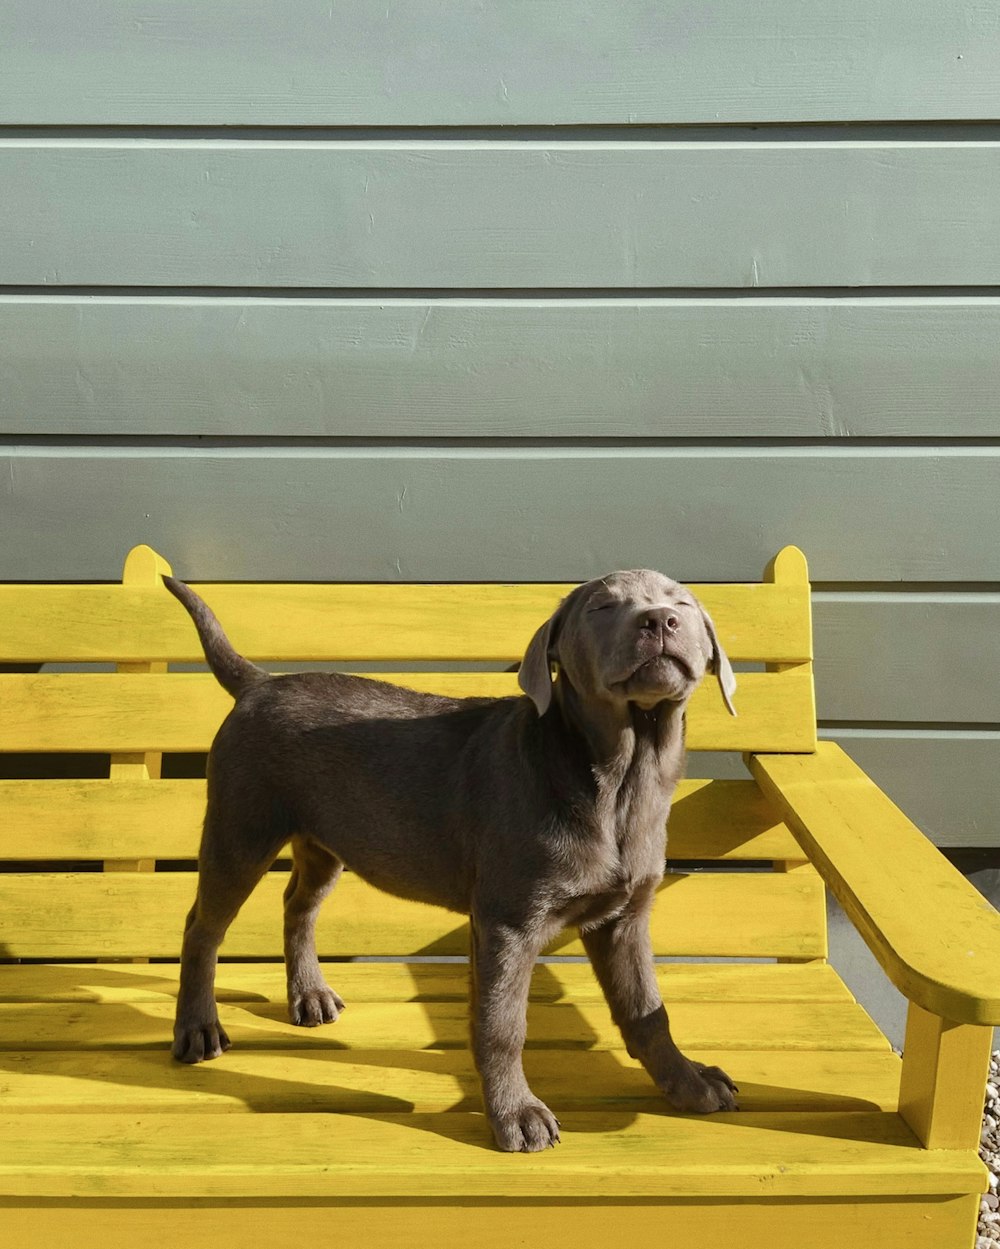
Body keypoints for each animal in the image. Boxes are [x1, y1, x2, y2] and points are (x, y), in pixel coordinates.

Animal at [163, 567, 739, 1149]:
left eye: (681, 604)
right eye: (601, 607)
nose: (659, 621)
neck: (621, 780)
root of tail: (259, 683)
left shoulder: (624, 917)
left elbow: (647, 1012)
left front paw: (689, 1084)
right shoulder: (508, 921)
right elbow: (502, 1024)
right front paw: (516, 1115)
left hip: (324, 838)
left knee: (297, 905)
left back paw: (309, 994)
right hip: (241, 827)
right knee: (201, 927)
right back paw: (197, 1027)